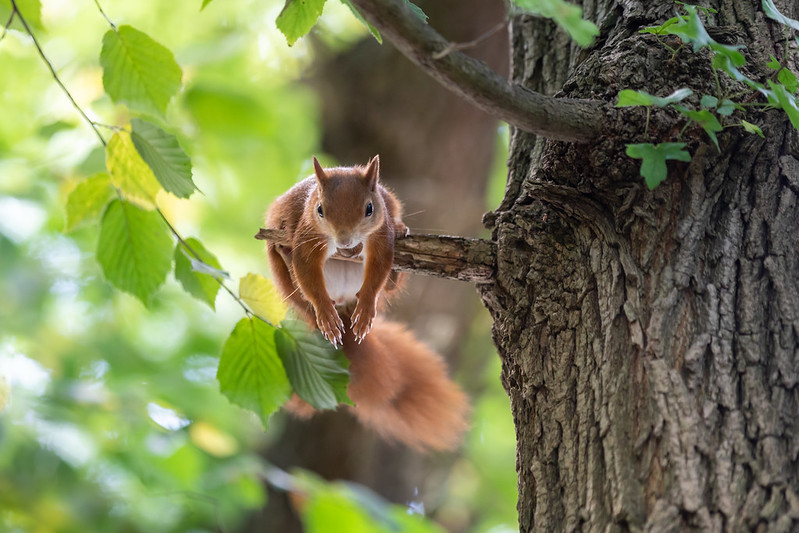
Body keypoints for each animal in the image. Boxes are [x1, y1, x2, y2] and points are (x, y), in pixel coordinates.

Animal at [264, 155, 469, 451]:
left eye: (369, 209)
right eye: (320, 210)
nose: (345, 240)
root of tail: (344, 307)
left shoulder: (382, 235)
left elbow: (379, 267)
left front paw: (367, 306)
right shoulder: (307, 234)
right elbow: (306, 269)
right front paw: (324, 311)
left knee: (390, 281)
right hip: (284, 276)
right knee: (296, 279)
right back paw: (286, 255)